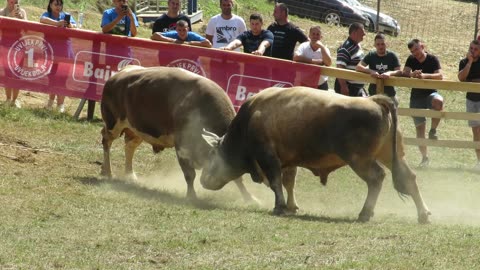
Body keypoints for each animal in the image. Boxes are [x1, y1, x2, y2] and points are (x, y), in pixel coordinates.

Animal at [101, 65, 255, 200]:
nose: (207, 183)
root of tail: (119, 74)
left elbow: (237, 179)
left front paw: (250, 198)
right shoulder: (182, 147)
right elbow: (189, 174)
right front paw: (191, 196)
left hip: (137, 129)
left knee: (129, 146)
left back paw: (130, 175)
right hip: (113, 124)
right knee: (106, 140)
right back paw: (107, 172)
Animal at [199, 86, 432, 224]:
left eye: (211, 153)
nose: (202, 180)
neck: (249, 119)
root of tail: (374, 101)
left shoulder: (268, 157)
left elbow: (276, 182)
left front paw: (279, 207)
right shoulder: (288, 161)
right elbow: (288, 182)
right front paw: (291, 206)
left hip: (360, 159)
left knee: (376, 178)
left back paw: (365, 213)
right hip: (392, 155)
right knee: (408, 177)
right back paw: (423, 214)